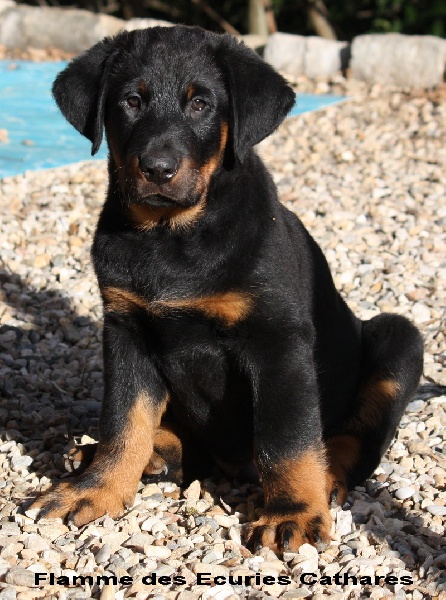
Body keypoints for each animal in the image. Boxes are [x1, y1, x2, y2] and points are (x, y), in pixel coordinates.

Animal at [32, 25, 423, 553]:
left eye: (201, 105)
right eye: (131, 101)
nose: (157, 168)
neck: (171, 233)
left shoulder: (278, 340)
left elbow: (288, 438)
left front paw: (293, 512)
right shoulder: (125, 329)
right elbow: (123, 422)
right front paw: (96, 489)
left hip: (398, 338)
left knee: (352, 441)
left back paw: (326, 479)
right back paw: (142, 453)